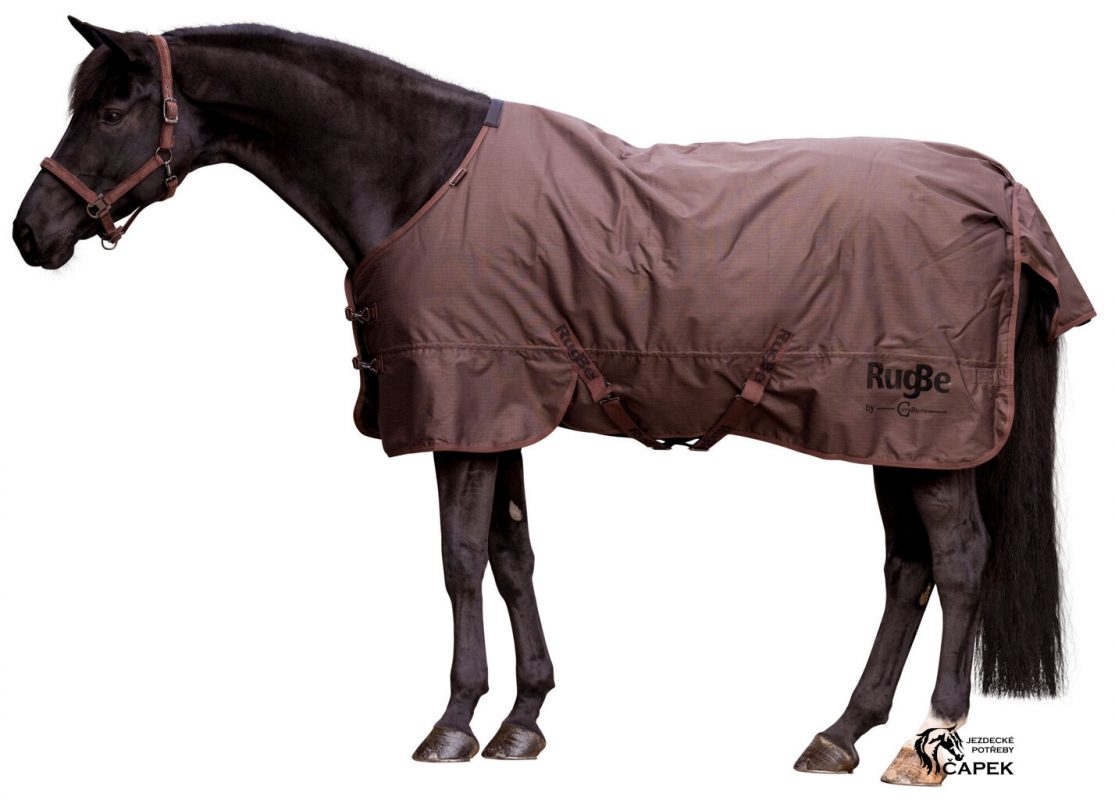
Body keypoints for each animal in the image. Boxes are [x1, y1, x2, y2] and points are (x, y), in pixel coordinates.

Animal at [13, 18, 1095, 785]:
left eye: (109, 112)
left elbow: (457, 562)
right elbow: (511, 558)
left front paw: (452, 724)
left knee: (956, 562)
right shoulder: (496, 411)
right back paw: (838, 732)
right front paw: (522, 720)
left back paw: (929, 735)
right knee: (908, 570)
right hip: (889, 437)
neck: (420, 178)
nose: (33, 232)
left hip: (920, 425)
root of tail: (1002, 194)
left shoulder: (461, 410)